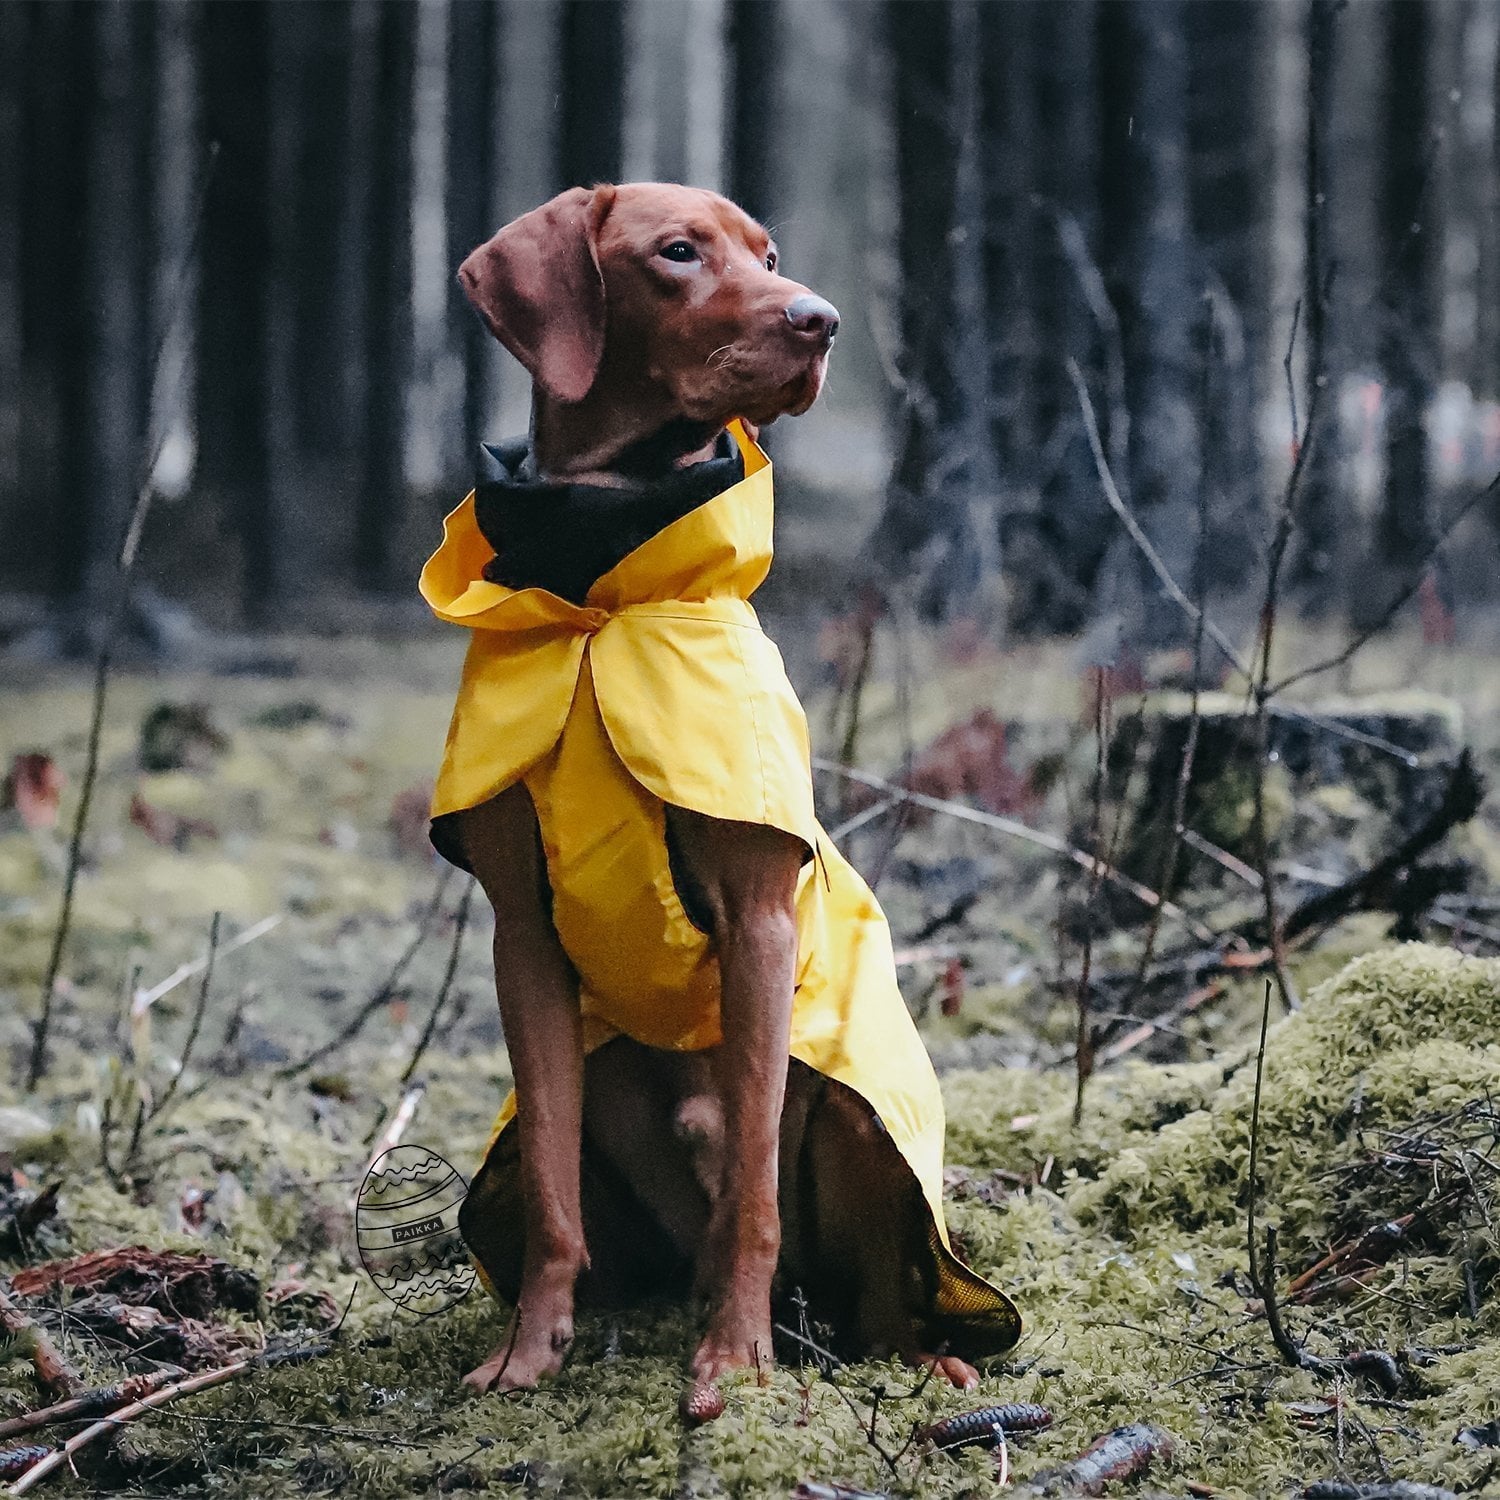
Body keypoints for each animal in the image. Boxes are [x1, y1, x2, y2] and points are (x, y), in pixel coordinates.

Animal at [420, 184, 1020, 1392]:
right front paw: (528, 1353)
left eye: (771, 254)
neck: (601, 590)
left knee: (872, 1296)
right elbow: (549, 1184)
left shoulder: (756, 920)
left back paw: (908, 1357)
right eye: (678, 253)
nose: (821, 321)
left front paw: (735, 1363)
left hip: (855, 1117)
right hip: (612, 1082)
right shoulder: (522, 939)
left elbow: (751, 1184)